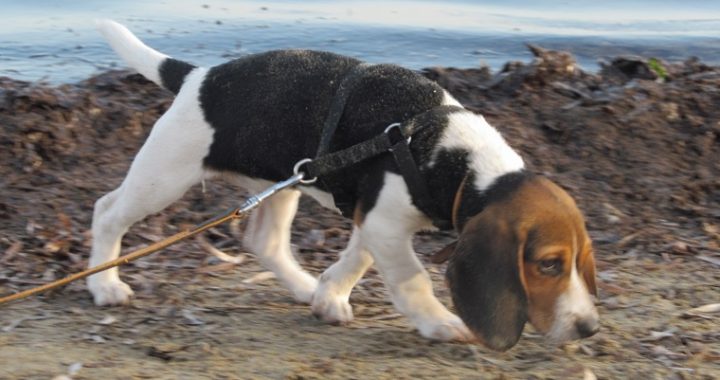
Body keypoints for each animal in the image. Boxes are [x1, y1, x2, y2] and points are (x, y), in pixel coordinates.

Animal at [88, 20, 596, 350]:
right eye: (548, 265)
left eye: (579, 261)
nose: (588, 328)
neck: (456, 158)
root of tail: (199, 76)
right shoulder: (385, 224)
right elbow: (411, 278)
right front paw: (438, 323)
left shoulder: (373, 219)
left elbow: (358, 259)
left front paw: (328, 295)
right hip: (165, 175)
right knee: (107, 211)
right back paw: (105, 284)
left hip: (285, 181)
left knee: (264, 242)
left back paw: (304, 286)